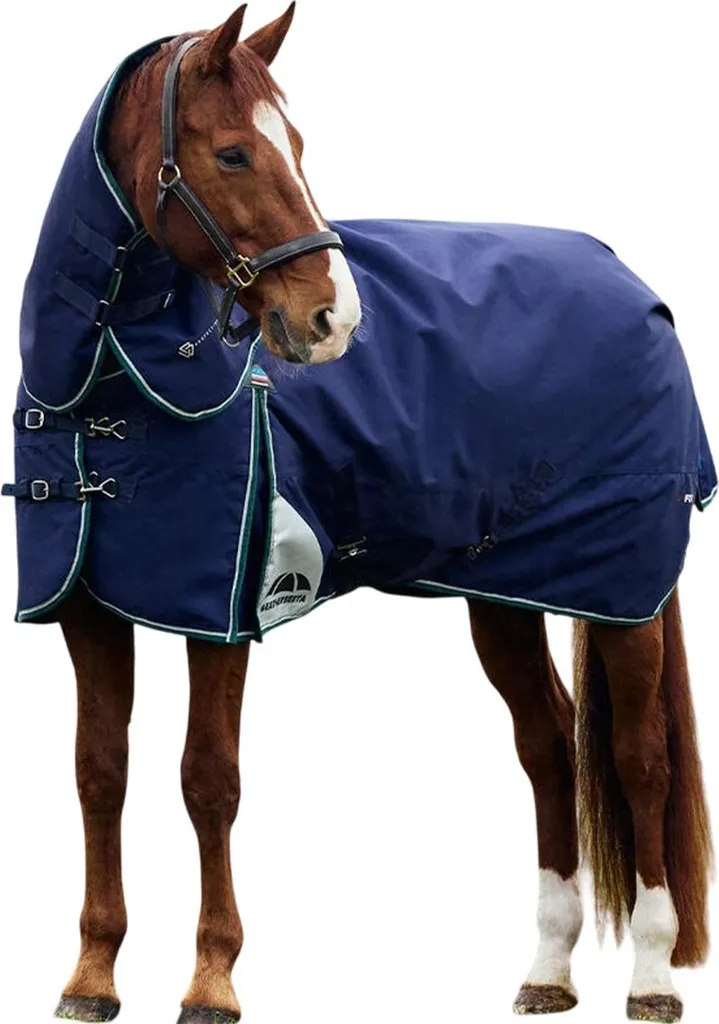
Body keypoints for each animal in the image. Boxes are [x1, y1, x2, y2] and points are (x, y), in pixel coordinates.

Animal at [4, 5, 714, 1024]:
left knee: (637, 756)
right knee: (548, 747)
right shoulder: (89, 613)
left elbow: (207, 780)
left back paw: (652, 977)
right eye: (231, 153)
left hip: (623, 591)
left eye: (296, 146)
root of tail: (637, 291)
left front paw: (211, 982)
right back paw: (546, 970)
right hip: (504, 593)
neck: (112, 391)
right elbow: (100, 773)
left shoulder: (221, 615)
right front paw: (91, 976)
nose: (331, 320)